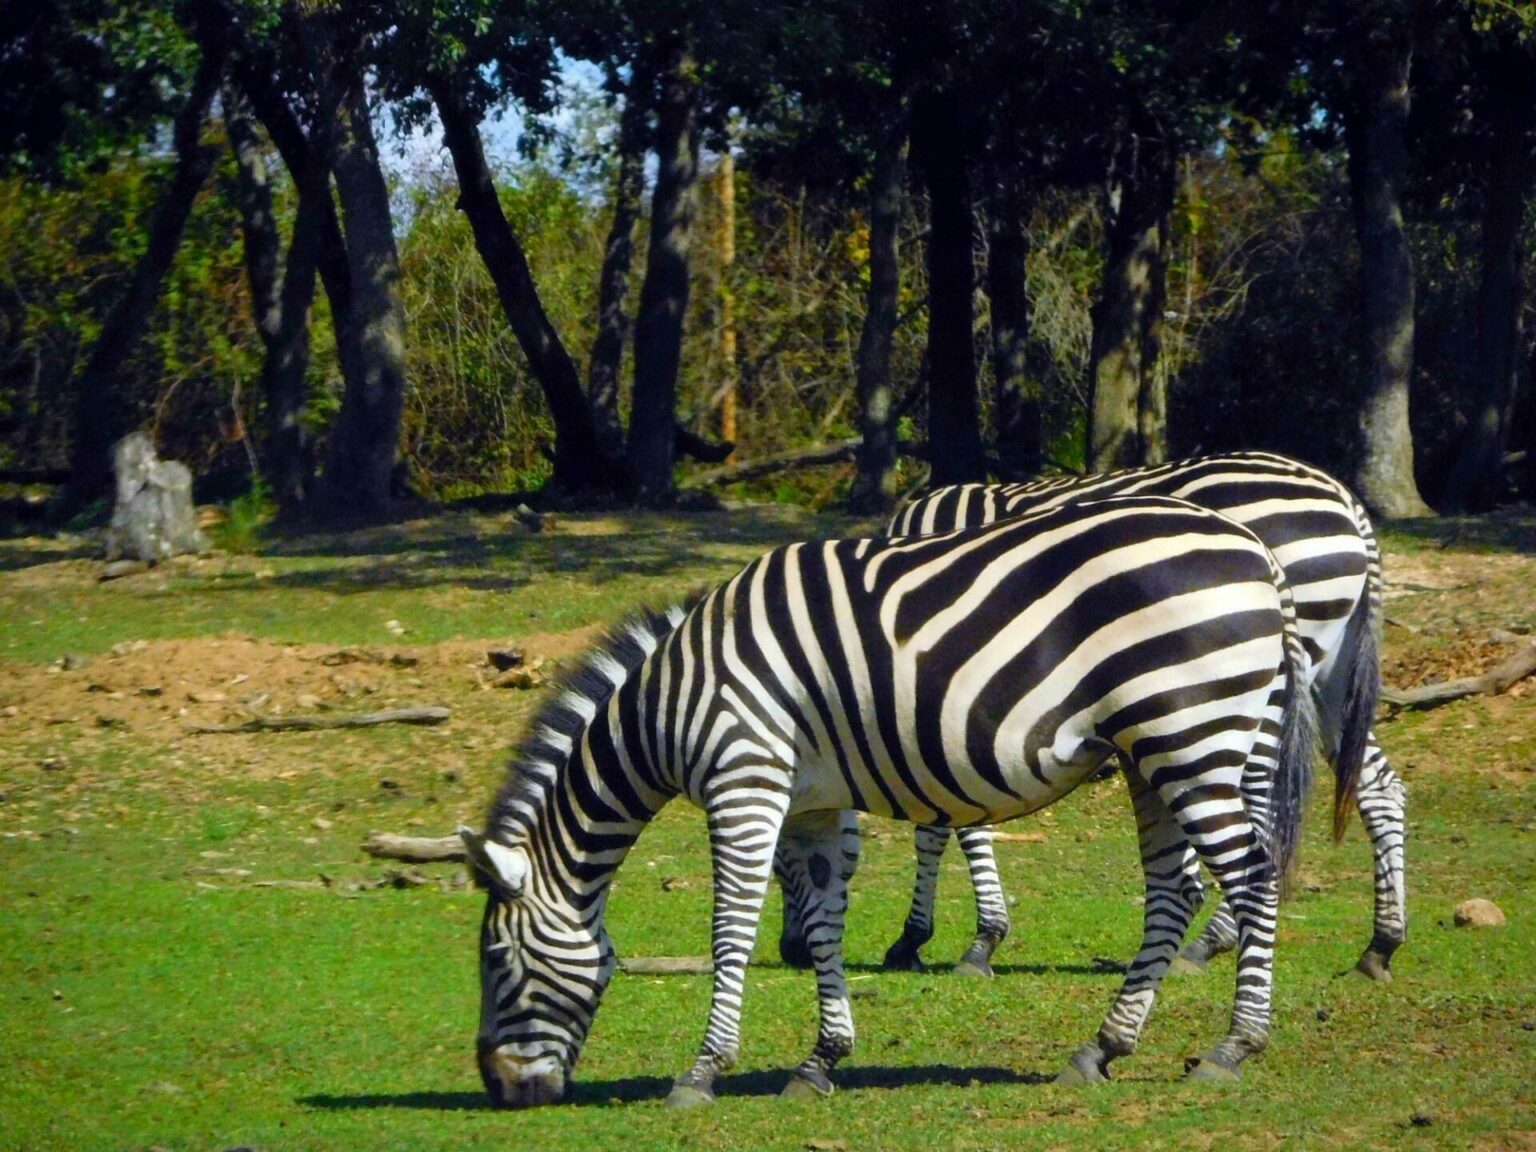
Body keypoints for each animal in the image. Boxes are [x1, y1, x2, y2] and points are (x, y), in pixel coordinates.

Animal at [454, 497, 1320, 1112]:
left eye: (496, 962)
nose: (500, 1090)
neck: (670, 702)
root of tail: (1255, 550)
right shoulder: (811, 803)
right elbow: (823, 925)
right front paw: (820, 1060)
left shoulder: (745, 779)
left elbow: (731, 927)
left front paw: (702, 1071)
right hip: (1157, 749)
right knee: (1174, 888)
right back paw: (1102, 1048)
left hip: (1189, 731)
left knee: (1250, 876)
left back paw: (1234, 1047)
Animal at [780, 451, 1406, 983]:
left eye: (787, 860)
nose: (792, 953)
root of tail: (1343, 498)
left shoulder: (944, 694)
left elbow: (945, 824)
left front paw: (942, 940)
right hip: (1323, 676)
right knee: (1376, 786)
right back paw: (1378, 946)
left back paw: (1214, 942)